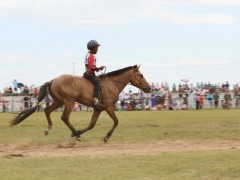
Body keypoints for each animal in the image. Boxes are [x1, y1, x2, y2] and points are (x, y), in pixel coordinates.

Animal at [10, 64, 152, 142]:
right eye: (141, 75)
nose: (149, 88)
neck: (112, 83)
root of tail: (53, 80)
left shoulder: (98, 109)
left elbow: (91, 125)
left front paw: (77, 132)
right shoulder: (108, 107)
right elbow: (116, 121)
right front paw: (106, 137)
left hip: (58, 101)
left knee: (47, 110)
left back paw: (50, 129)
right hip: (69, 102)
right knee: (64, 117)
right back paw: (76, 135)